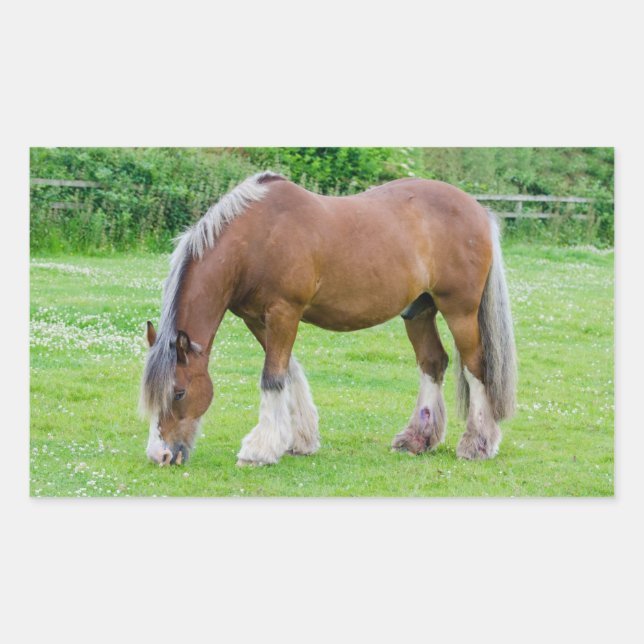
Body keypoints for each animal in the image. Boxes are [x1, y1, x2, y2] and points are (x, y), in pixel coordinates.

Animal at [140, 172, 517, 467]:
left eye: (178, 393)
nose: (160, 455)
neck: (257, 239)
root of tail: (479, 210)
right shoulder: (258, 320)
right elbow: (288, 372)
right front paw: (299, 440)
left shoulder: (284, 312)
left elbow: (272, 377)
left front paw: (259, 450)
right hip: (419, 311)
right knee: (433, 363)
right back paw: (417, 439)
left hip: (460, 311)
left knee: (476, 367)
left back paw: (477, 444)